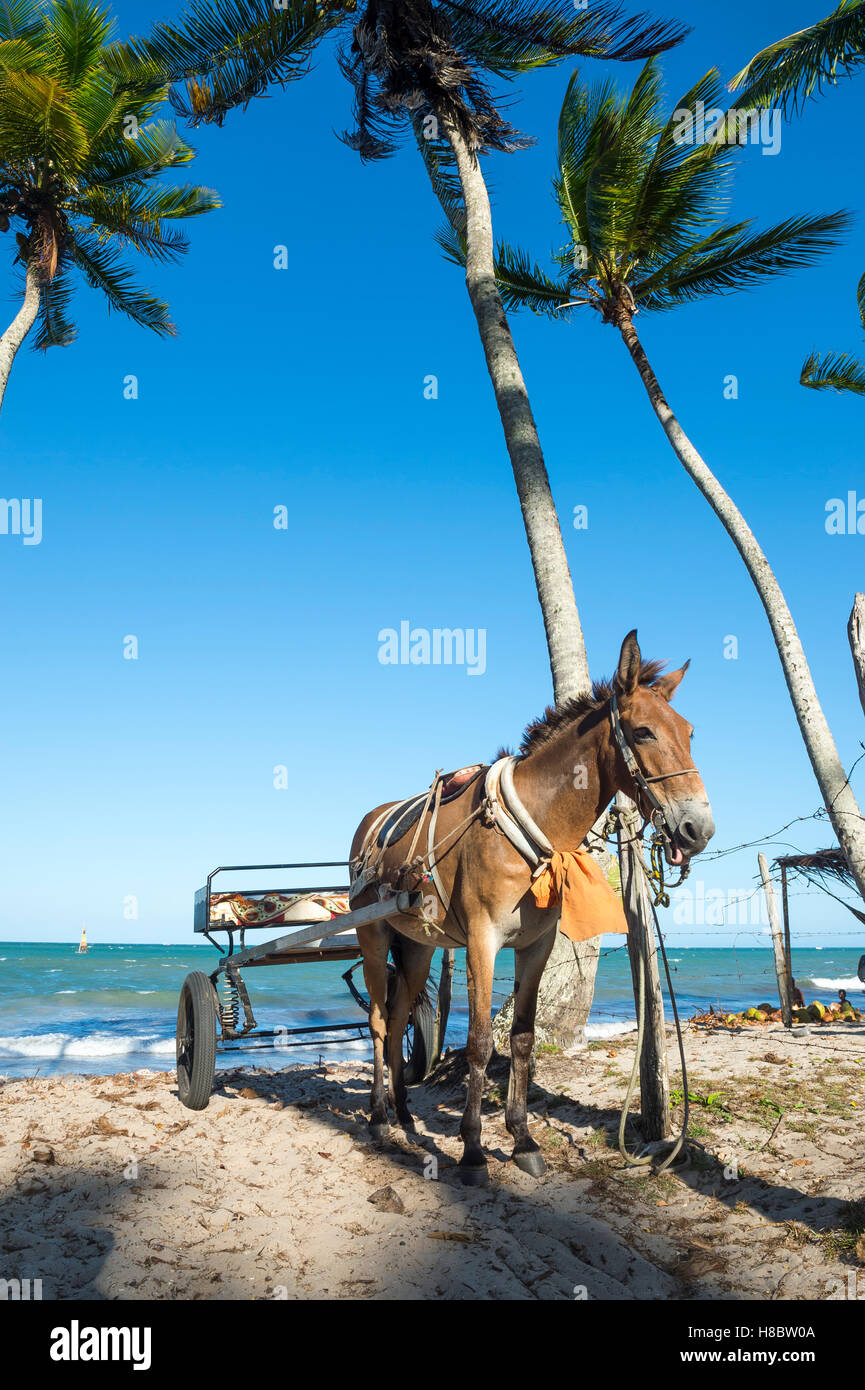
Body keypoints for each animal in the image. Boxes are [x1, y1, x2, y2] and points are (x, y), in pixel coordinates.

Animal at [349, 630, 714, 1185]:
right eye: (644, 732)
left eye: (690, 733)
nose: (698, 829)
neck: (533, 823)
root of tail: (371, 820)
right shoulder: (482, 942)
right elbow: (480, 1042)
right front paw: (473, 1149)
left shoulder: (536, 945)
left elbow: (521, 1039)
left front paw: (521, 1138)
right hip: (372, 939)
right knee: (377, 1022)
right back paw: (376, 1117)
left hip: (416, 947)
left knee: (398, 1014)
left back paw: (405, 1114)